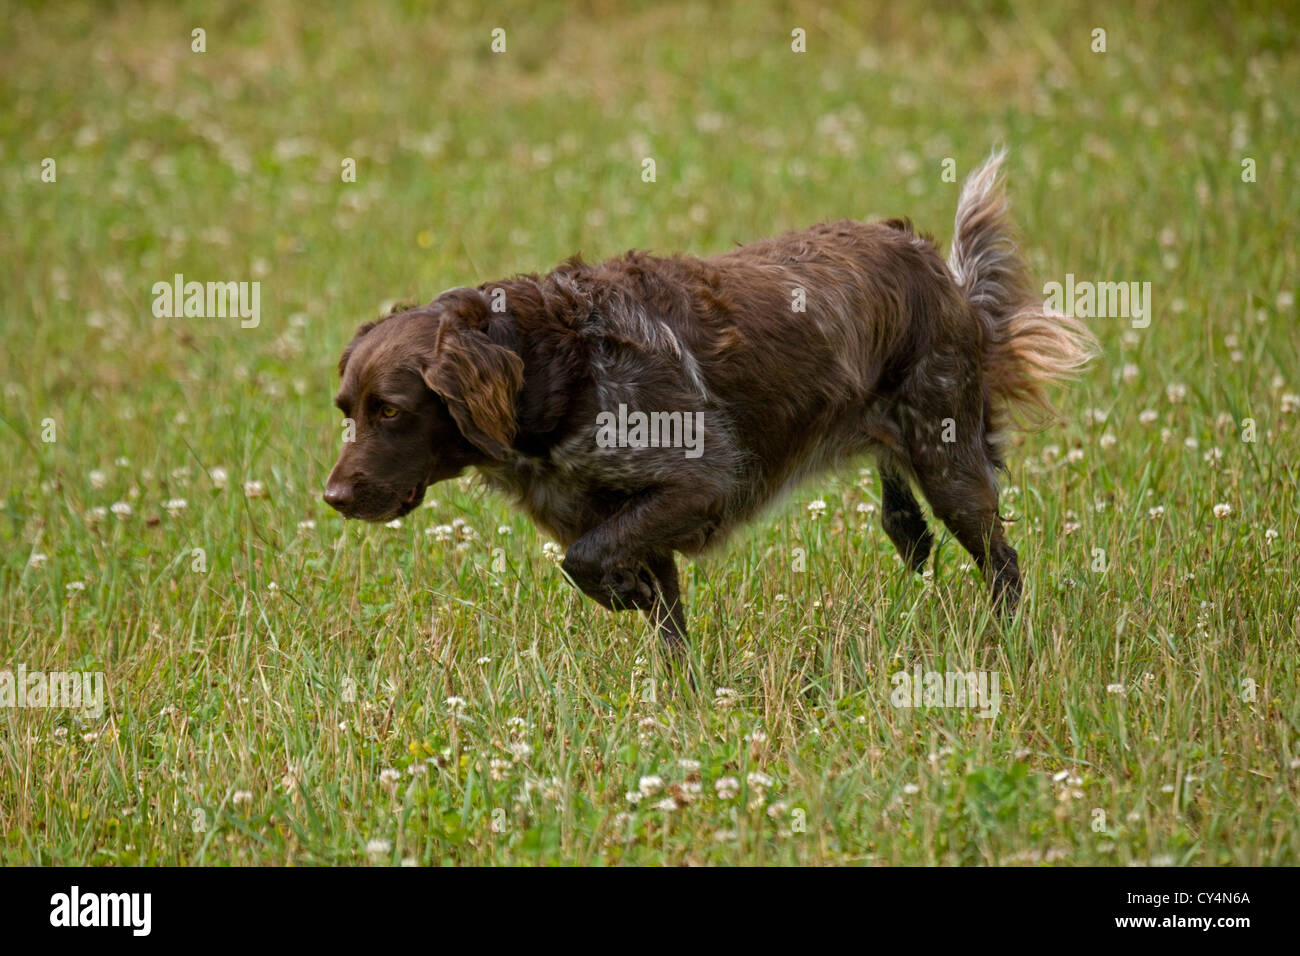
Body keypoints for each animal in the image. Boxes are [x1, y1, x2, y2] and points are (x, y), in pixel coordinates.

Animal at [325, 157, 1097, 660]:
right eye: (346, 409)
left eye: (390, 410)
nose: (333, 497)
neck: (553, 368)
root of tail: (936, 265)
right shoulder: (642, 518)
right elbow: (657, 617)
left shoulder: (700, 482)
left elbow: (584, 558)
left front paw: (621, 597)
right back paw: (909, 530)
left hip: (948, 455)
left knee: (1002, 559)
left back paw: (1007, 639)